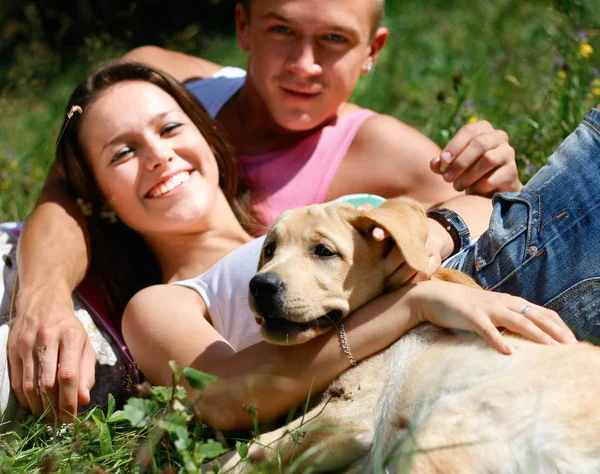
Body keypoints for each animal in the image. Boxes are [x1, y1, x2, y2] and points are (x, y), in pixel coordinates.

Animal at [214, 196, 600, 474]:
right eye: (269, 250)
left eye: (324, 251)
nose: (260, 286)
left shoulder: (348, 415)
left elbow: (254, 448)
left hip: (439, 432)